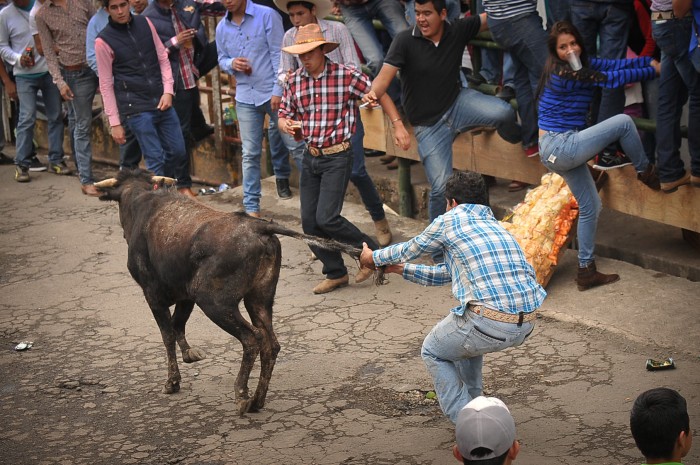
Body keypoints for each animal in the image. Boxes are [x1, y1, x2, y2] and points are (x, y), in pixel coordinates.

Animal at [95, 169, 360, 414]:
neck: (141, 202)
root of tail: (259, 226)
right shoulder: (185, 295)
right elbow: (177, 324)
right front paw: (190, 354)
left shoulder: (154, 295)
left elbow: (167, 334)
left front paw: (172, 382)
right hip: (258, 298)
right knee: (270, 344)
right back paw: (257, 401)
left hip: (214, 302)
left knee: (251, 339)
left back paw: (241, 394)